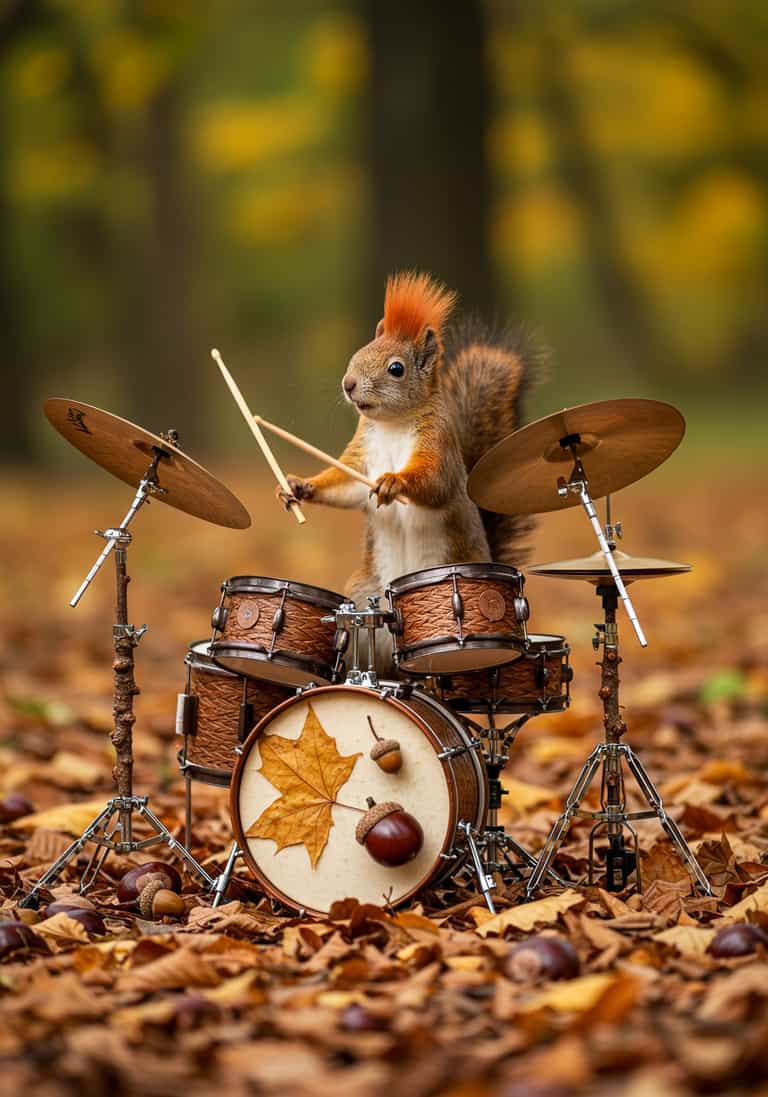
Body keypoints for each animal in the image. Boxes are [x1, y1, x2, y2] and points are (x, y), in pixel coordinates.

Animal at [284, 271, 537, 610]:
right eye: (359, 353)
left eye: (396, 369)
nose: (348, 384)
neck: (392, 423)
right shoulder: (362, 456)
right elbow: (347, 486)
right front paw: (300, 486)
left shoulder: (437, 443)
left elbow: (433, 481)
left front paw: (394, 481)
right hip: (365, 593)